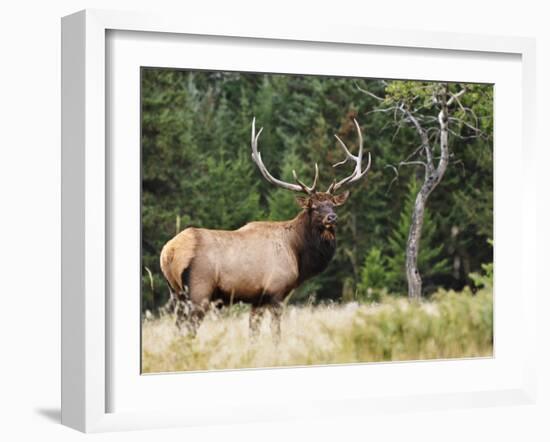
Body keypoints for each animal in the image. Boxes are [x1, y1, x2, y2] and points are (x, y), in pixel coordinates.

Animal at [162, 117, 374, 338]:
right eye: (314, 207)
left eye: (333, 204)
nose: (332, 217)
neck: (297, 252)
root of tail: (169, 253)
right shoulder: (276, 291)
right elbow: (275, 332)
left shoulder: (258, 298)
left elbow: (253, 333)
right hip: (199, 290)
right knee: (188, 330)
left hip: (176, 293)